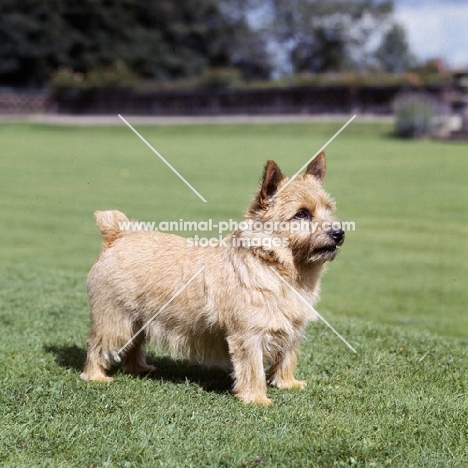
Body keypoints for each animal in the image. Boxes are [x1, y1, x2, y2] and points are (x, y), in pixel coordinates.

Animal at [80, 152, 344, 404]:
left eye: (329, 208)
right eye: (301, 214)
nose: (339, 232)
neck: (276, 266)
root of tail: (118, 235)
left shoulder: (292, 326)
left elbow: (288, 355)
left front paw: (287, 383)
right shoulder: (249, 334)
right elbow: (253, 369)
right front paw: (257, 398)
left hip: (138, 318)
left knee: (133, 345)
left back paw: (138, 368)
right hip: (115, 317)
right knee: (97, 343)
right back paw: (95, 376)